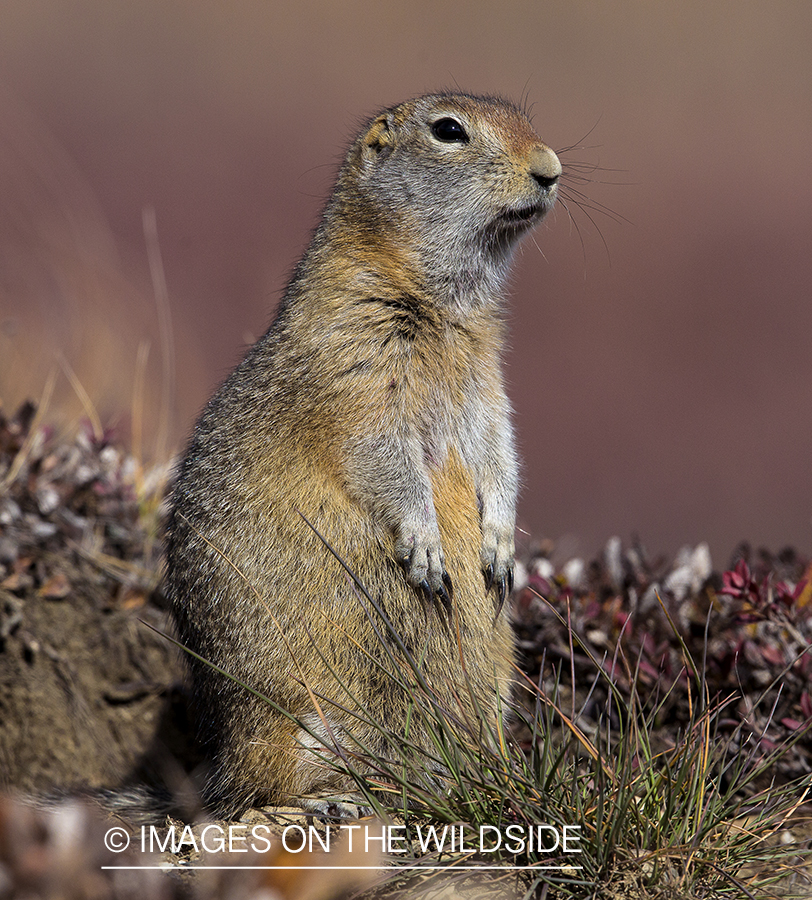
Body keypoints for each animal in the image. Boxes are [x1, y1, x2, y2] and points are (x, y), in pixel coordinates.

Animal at [163, 91, 560, 816]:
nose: (550, 168)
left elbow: (499, 451)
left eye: (523, 116)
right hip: (292, 715)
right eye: (449, 131)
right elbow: (382, 454)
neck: (445, 302)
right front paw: (428, 549)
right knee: (261, 790)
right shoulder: (360, 365)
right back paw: (329, 801)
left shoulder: (486, 387)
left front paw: (498, 547)